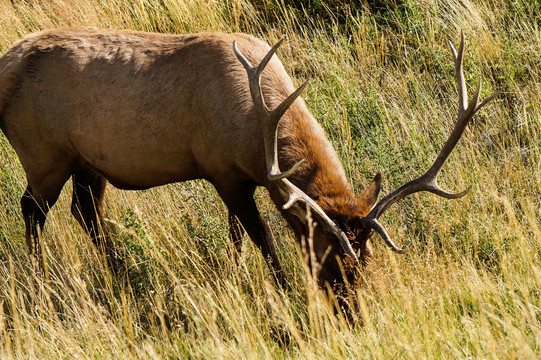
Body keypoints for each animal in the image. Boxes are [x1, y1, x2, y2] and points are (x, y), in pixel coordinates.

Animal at [0, 28, 498, 290]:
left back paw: (122, 273)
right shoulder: (223, 171)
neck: (257, 134)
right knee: (33, 209)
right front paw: (284, 289)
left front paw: (237, 273)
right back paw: (42, 281)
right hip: (44, 154)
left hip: (86, 162)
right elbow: (261, 237)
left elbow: (236, 236)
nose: (354, 317)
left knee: (85, 211)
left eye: (366, 265)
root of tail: (5, 66)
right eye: (328, 261)